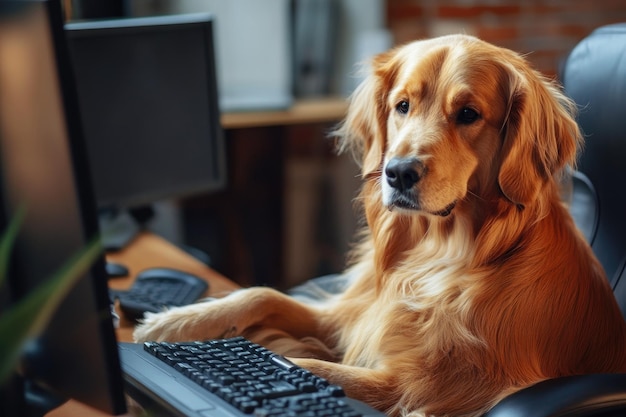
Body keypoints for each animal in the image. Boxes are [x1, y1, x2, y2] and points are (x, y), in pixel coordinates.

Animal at [134, 34, 624, 414]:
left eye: (468, 114)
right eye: (401, 105)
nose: (398, 172)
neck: (436, 255)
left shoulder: (424, 388)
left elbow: (310, 368)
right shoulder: (352, 313)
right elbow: (261, 294)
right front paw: (174, 323)